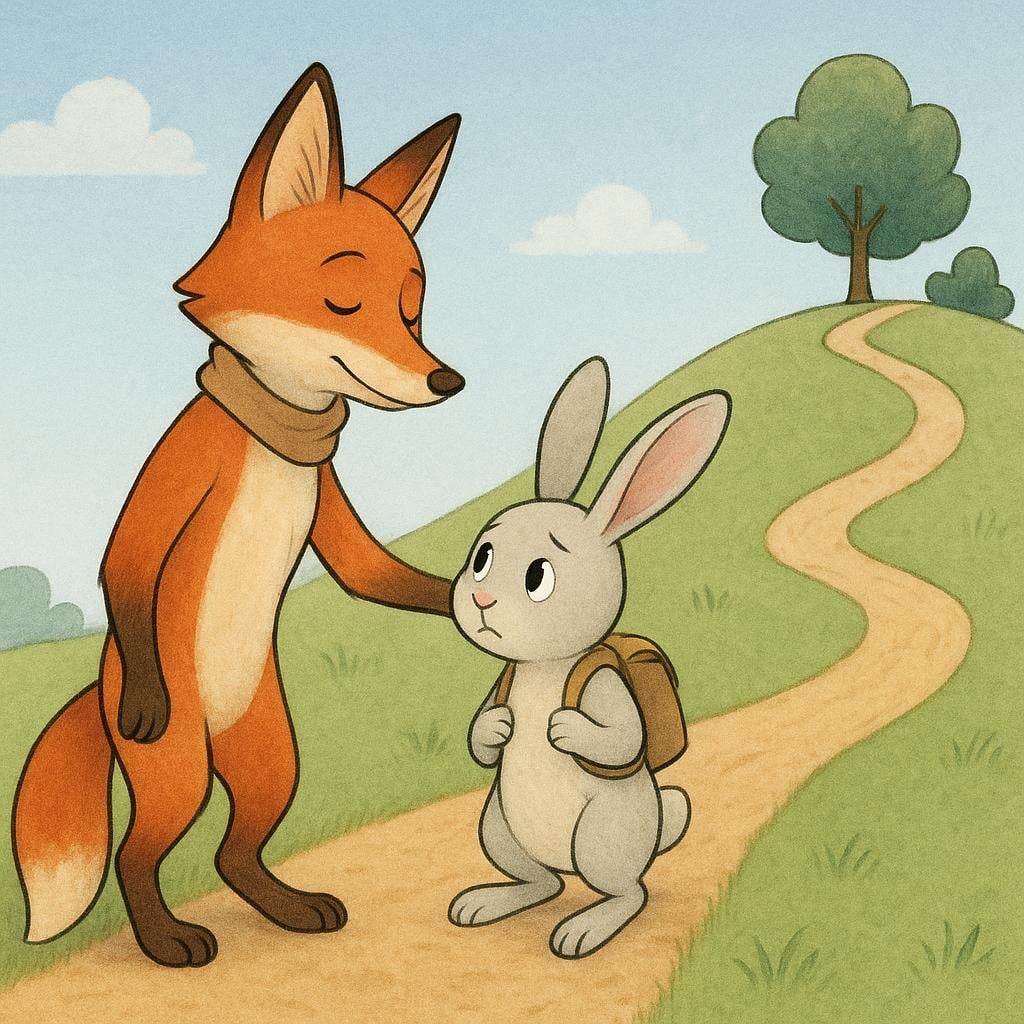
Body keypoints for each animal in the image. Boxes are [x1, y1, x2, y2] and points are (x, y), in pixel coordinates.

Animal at [12, 63, 464, 968]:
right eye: (341, 297)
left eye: (413, 310)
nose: (447, 380)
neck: (276, 429)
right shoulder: (184, 463)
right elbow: (124, 557)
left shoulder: (327, 495)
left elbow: (374, 573)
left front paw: (460, 598)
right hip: (177, 769)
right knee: (137, 853)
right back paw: (166, 941)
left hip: (272, 758)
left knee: (235, 850)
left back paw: (288, 908)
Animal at [447, 356, 731, 959]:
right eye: (482, 558)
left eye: (538, 576)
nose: (481, 600)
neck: (547, 666)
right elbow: (481, 736)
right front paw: (499, 726)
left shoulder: (603, 685)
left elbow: (622, 737)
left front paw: (563, 728)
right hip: (497, 827)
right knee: (542, 882)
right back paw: (488, 902)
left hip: (602, 837)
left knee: (629, 892)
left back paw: (584, 929)